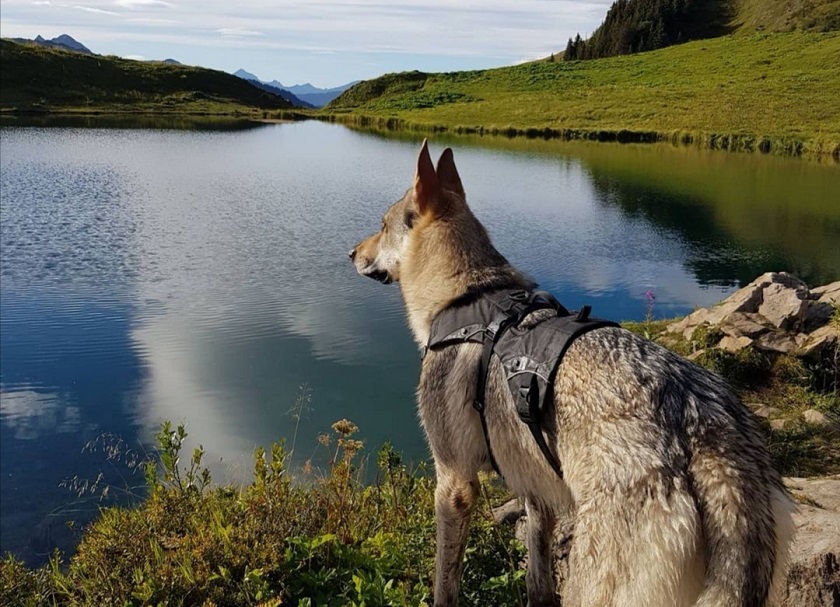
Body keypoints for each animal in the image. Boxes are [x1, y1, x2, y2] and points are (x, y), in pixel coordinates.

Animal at [350, 141, 796, 607]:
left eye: (381, 225)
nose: (351, 253)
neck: (467, 294)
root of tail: (709, 440)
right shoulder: (536, 489)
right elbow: (538, 578)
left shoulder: (454, 482)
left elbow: (444, 583)